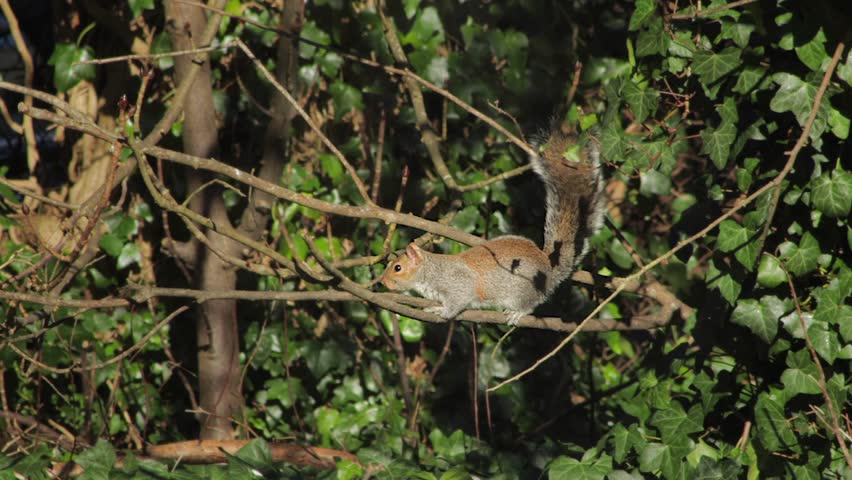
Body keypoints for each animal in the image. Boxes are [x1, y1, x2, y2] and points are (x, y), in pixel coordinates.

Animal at [381, 127, 606, 326]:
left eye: (398, 268)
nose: (383, 282)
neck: (432, 271)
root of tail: (548, 267)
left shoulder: (458, 284)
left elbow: (456, 303)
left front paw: (441, 311)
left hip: (522, 291)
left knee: (531, 304)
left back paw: (517, 313)